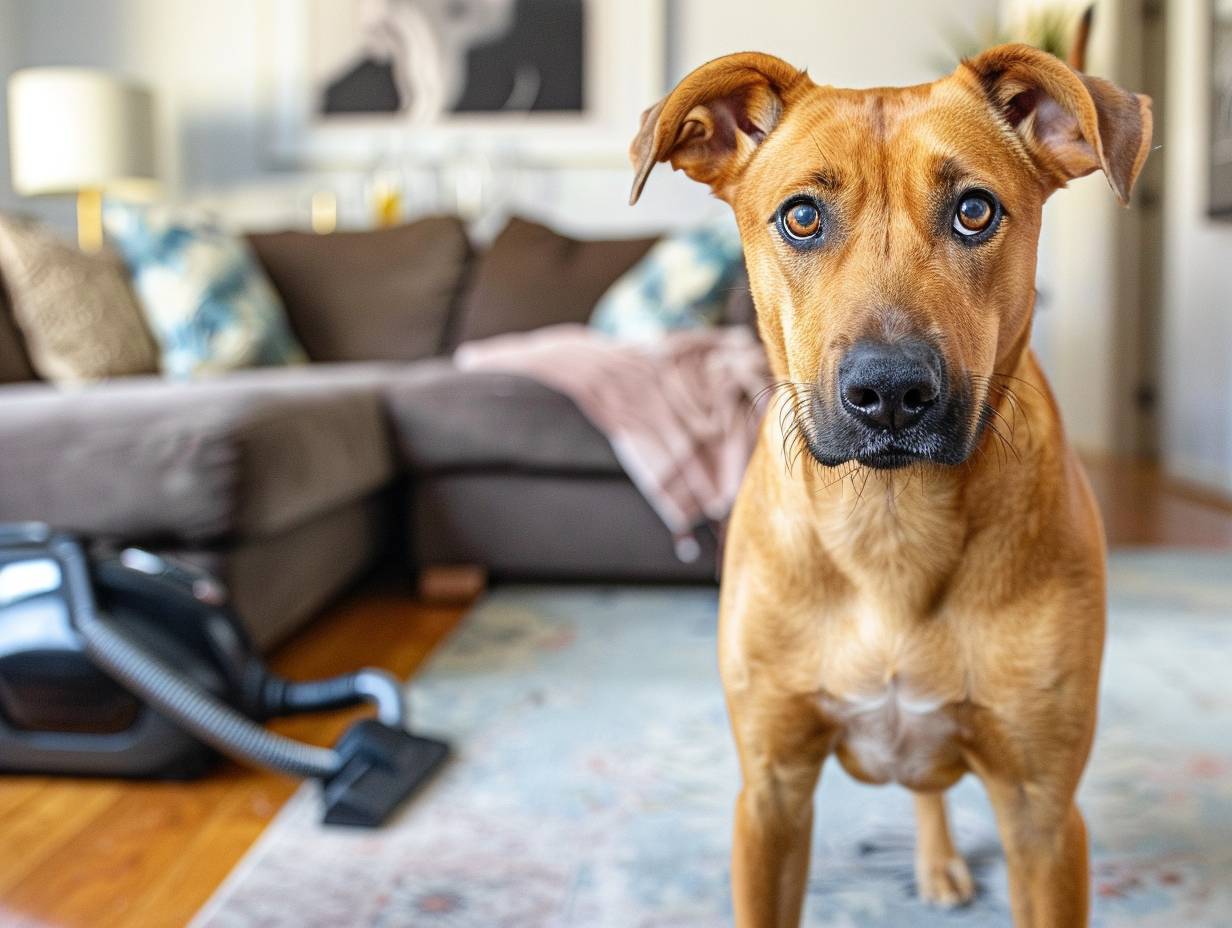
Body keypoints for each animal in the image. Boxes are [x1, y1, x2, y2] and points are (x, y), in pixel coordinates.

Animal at [630, 39, 1148, 921]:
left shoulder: (1043, 814)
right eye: (802, 217)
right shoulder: (770, 794)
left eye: (975, 210)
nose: (892, 390)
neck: (891, 524)